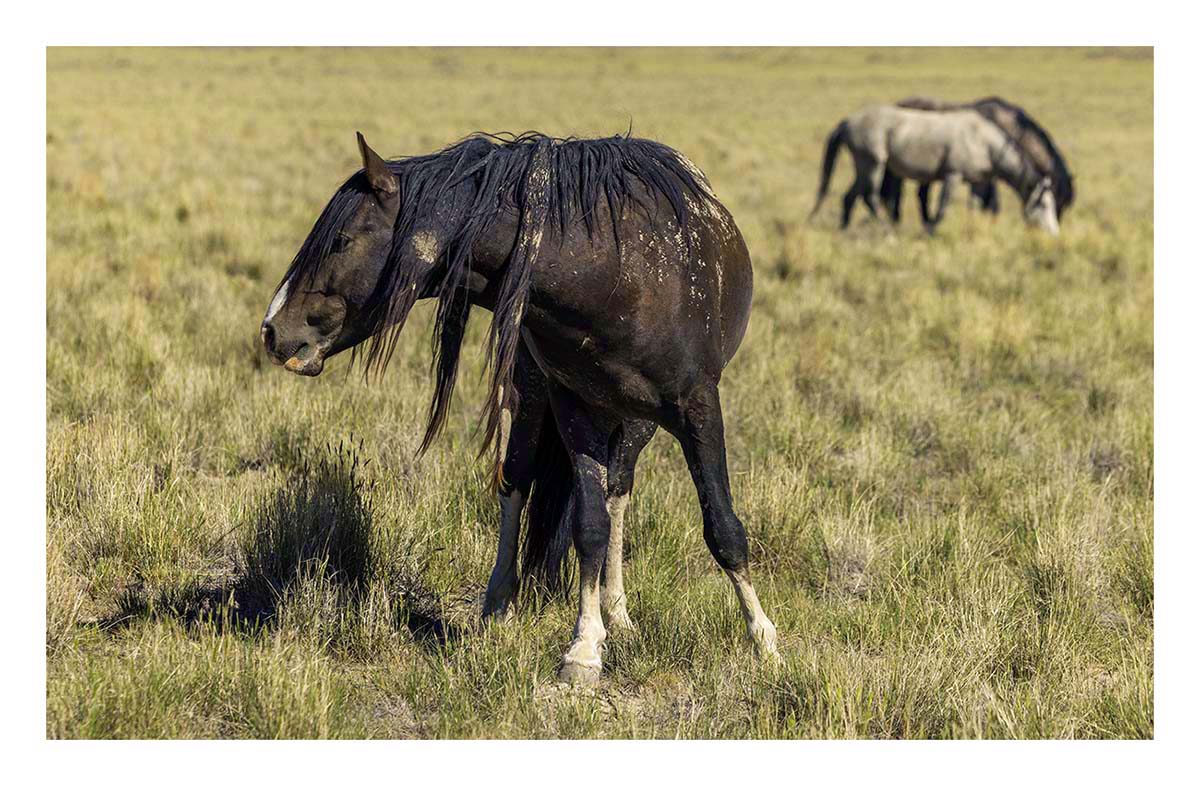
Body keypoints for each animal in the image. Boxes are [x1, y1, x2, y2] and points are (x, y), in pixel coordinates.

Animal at [260, 131, 779, 686]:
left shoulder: (698, 405)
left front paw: (763, 638)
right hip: (532, 400)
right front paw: (583, 650)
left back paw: (619, 612)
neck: (615, 275)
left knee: (619, 489)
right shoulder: (574, 407)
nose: (272, 330)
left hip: (636, 421)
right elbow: (588, 527)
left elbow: (722, 527)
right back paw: (498, 602)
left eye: (341, 241)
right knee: (517, 479)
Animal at [809, 104, 1060, 235]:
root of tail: (848, 121)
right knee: (869, 196)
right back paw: (887, 230)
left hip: (863, 166)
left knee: (849, 196)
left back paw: (844, 229)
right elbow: (942, 207)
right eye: (1044, 205)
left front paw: (971, 229)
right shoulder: (952, 175)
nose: (1054, 232)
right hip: (872, 163)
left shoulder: (977, 180)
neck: (983, 141)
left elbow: (975, 206)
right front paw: (930, 232)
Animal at [880, 96, 1075, 227]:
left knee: (920, 194)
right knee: (897, 194)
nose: (1052, 232)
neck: (1008, 130)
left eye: (1061, 205)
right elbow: (992, 204)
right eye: (1056, 202)